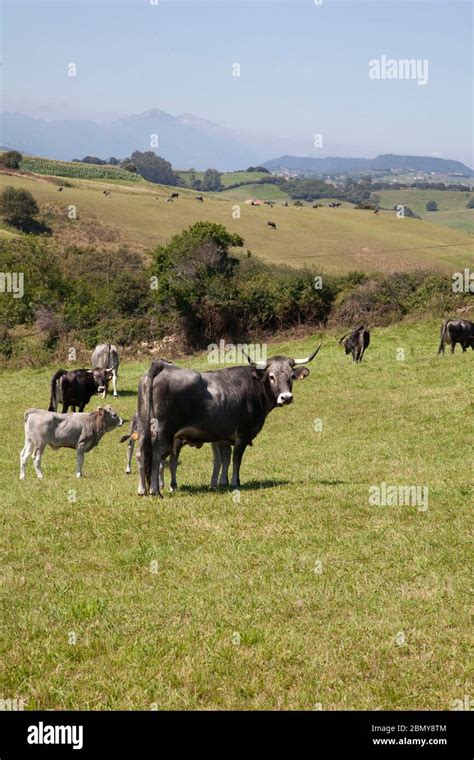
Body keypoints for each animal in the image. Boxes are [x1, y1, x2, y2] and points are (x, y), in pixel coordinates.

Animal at [137, 344, 322, 498]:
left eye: (291, 376)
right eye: (271, 376)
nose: (286, 397)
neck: (253, 385)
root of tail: (162, 366)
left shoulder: (223, 436)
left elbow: (225, 458)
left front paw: (223, 482)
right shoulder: (242, 433)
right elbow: (236, 458)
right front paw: (234, 483)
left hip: (143, 428)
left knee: (141, 453)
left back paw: (142, 490)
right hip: (164, 431)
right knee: (156, 455)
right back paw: (154, 490)